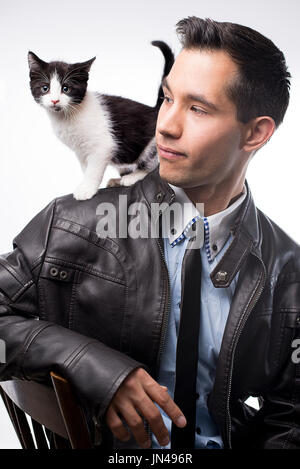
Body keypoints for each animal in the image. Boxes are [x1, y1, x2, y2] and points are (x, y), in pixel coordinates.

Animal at [28, 41, 173, 199]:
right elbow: (86, 168)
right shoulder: (80, 151)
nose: (55, 101)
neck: (66, 116)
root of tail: (155, 109)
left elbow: (94, 170)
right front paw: (87, 185)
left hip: (154, 145)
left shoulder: (103, 146)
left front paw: (86, 190)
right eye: (45, 88)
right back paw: (117, 180)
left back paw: (133, 177)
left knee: (154, 166)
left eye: (66, 89)